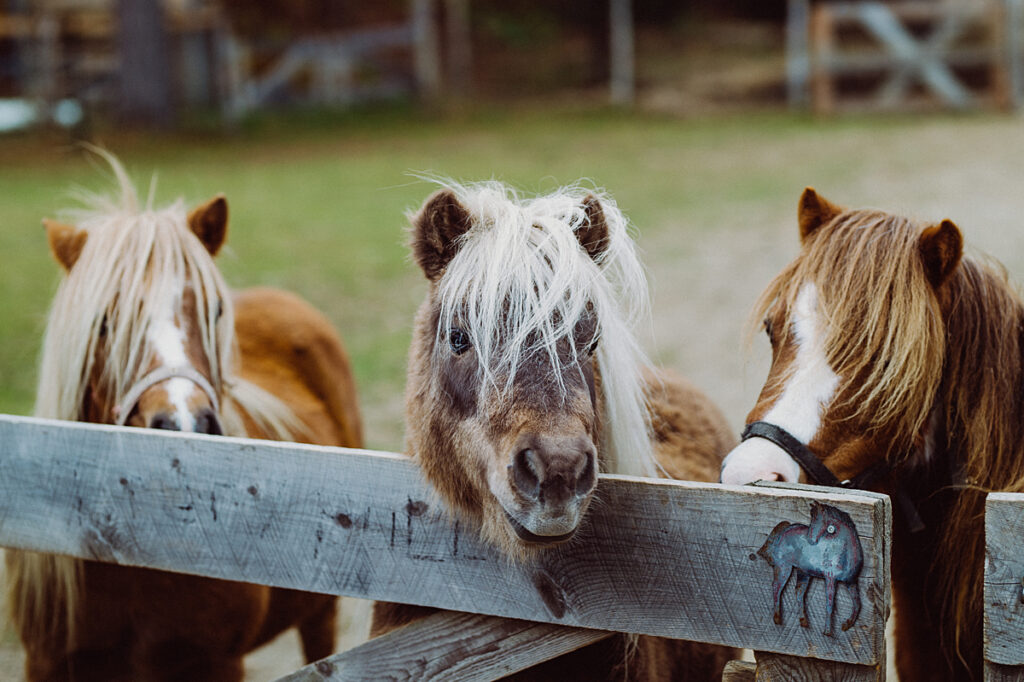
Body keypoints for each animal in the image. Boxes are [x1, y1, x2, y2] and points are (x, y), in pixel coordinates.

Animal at [5, 154, 363, 681]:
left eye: (214, 310)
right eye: (104, 322)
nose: (184, 426)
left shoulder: (214, 661)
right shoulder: (47, 662)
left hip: (320, 610)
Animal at [757, 501, 863, 637]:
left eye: (816, 518)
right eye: (812, 518)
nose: (810, 540)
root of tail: (785, 529)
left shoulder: (851, 582)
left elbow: (857, 603)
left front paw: (847, 625)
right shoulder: (830, 578)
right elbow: (830, 604)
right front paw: (827, 631)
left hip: (803, 573)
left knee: (799, 592)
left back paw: (804, 621)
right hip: (783, 567)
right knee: (776, 587)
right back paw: (777, 618)